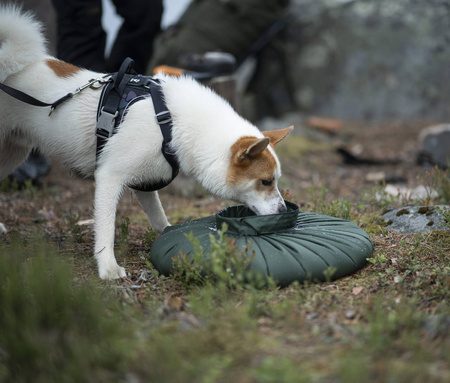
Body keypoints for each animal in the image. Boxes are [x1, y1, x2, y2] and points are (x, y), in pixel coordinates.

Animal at [0, 6, 294, 280]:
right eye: (266, 182)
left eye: (275, 181)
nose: (283, 210)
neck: (170, 121)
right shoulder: (109, 176)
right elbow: (106, 227)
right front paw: (108, 267)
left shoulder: (145, 183)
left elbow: (159, 218)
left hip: (13, 153)